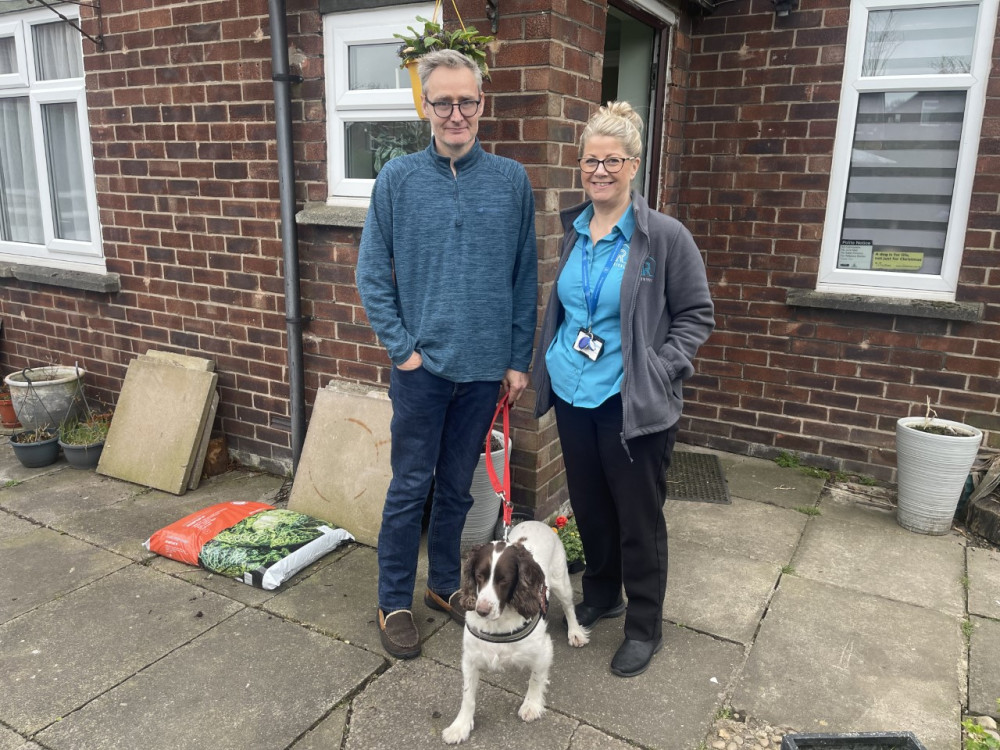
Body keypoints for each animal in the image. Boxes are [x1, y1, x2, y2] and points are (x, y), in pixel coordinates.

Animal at [442, 524, 588, 748]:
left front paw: (531, 706)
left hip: (561, 580)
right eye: (479, 575)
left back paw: (575, 633)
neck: (499, 622)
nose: (481, 611)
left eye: (504, 580)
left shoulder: (544, 651)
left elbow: (535, 679)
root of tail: (539, 523)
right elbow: (467, 696)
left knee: (569, 607)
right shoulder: (470, 658)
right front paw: (460, 727)